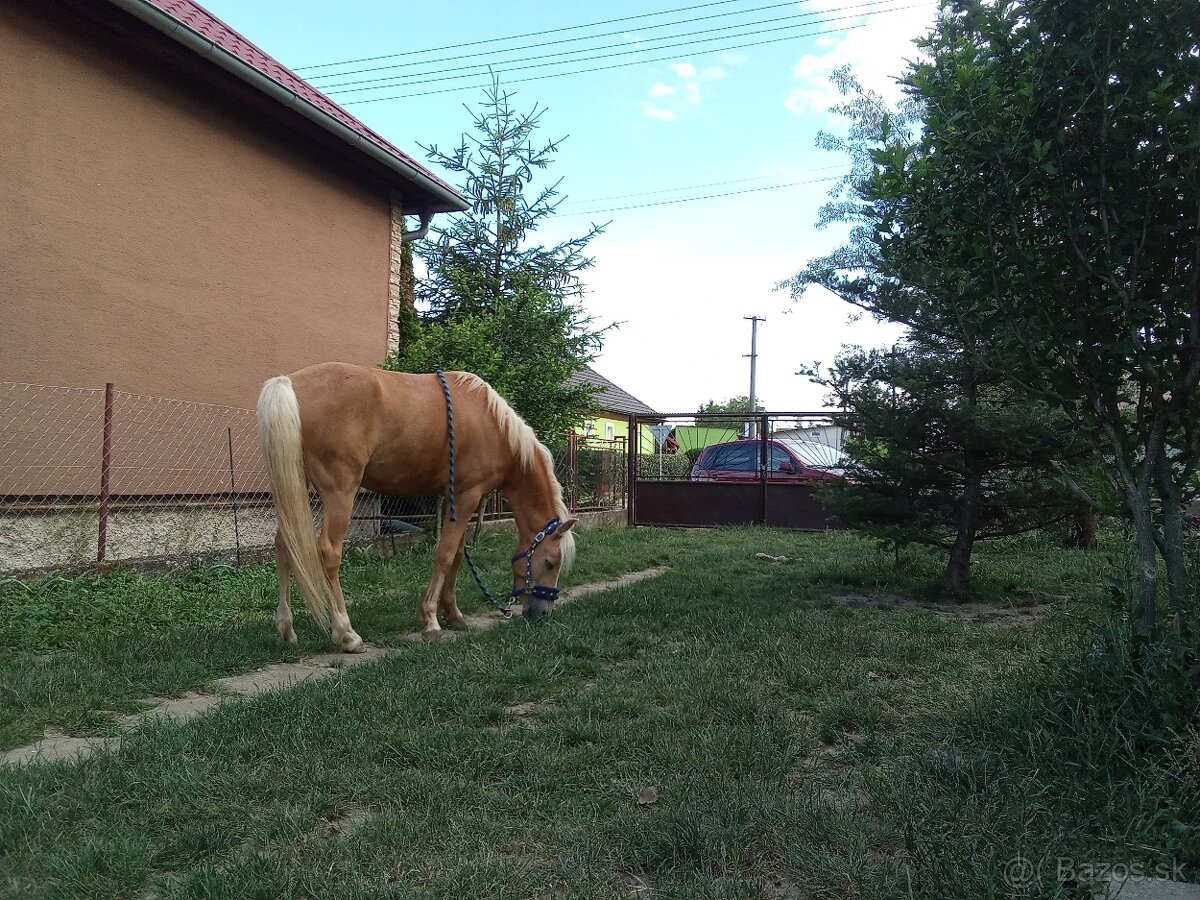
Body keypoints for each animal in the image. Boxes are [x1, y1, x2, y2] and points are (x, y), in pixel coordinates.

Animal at [256, 361, 577, 652]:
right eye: (550, 562)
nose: (542, 612)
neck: (493, 426)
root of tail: (289, 383)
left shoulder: (455, 499)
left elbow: (457, 555)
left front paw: (454, 614)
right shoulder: (467, 497)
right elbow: (445, 555)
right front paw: (431, 621)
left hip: (295, 488)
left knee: (284, 546)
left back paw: (287, 630)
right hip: (338, 493)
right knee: (329, 553)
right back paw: (347, 634)